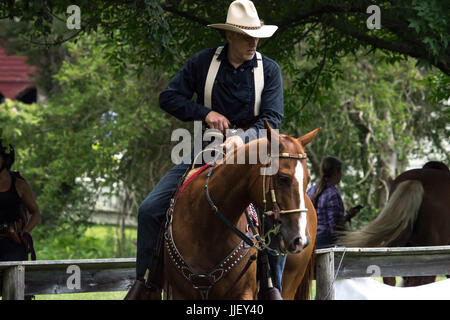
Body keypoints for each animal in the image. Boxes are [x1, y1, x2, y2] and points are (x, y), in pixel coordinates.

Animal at [155, 123, 320, 300]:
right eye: (283, 178)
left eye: (308, 179)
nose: (301, 239)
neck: (207, 230)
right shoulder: (181, 293)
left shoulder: (244, 292)